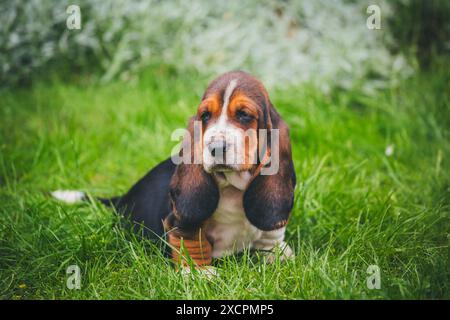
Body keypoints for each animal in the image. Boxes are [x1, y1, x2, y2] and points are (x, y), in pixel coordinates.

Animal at [52, 71, 298, 268]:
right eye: (205, 116)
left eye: (244, 115)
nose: (216, 147)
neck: (232, 188)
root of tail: (123, 198)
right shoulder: (179, 222)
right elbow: (191, 241)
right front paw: (200, 273)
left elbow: (271, 236)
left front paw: (277, 253)